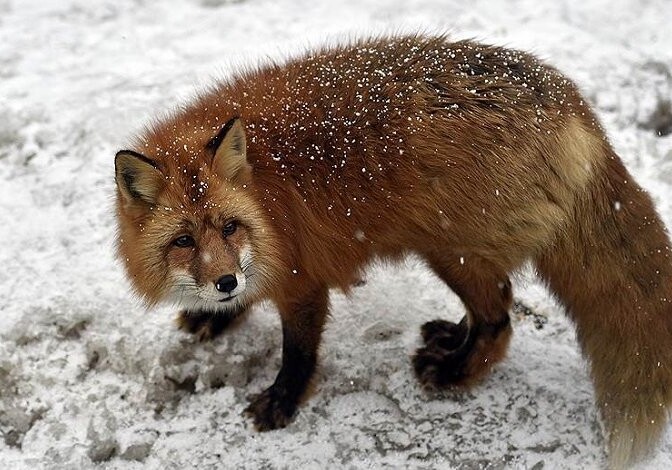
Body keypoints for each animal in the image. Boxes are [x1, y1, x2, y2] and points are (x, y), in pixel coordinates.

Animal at [115, 35, 672, 468]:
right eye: (184, 241)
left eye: (230, 228)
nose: (225, 282)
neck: (266, 194)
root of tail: (569, 98)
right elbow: (248, 295)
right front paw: (217, 313)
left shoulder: (301, 279)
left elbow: (298, 353)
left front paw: (283, 401)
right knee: (492, 309)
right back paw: (450, 338)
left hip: (451, 252)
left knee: (500, 318)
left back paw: (453, 372)